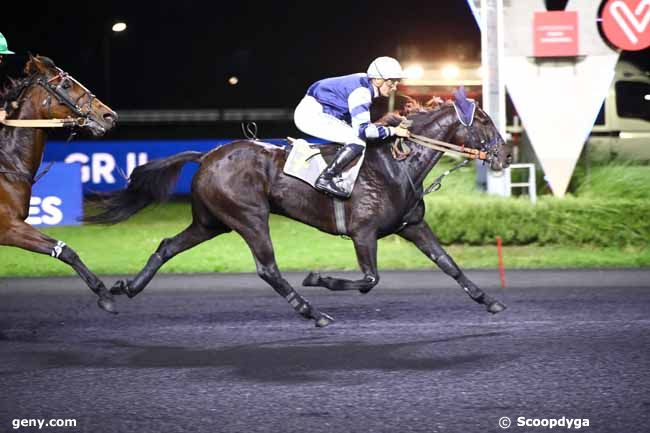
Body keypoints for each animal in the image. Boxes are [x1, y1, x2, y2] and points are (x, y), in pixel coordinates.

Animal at [0, 54, 117, 310]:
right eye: (66, 84)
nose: (109, 116)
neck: (7, 163)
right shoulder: (9, 227)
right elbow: (66, 251)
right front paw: (104, 293)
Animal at [88, 92, 508, 328]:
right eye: (486, 121)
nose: (504, 156)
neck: (396, 164)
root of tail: (207, 155)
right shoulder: (363, 232)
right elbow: (369, 280)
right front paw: (318, 278)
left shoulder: (411, 225)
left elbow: (449, 263)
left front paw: (490, 300)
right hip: (249, 217)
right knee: (267, 269)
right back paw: (313, 312)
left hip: (211, 222)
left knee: (167, 246)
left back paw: (127, 287)